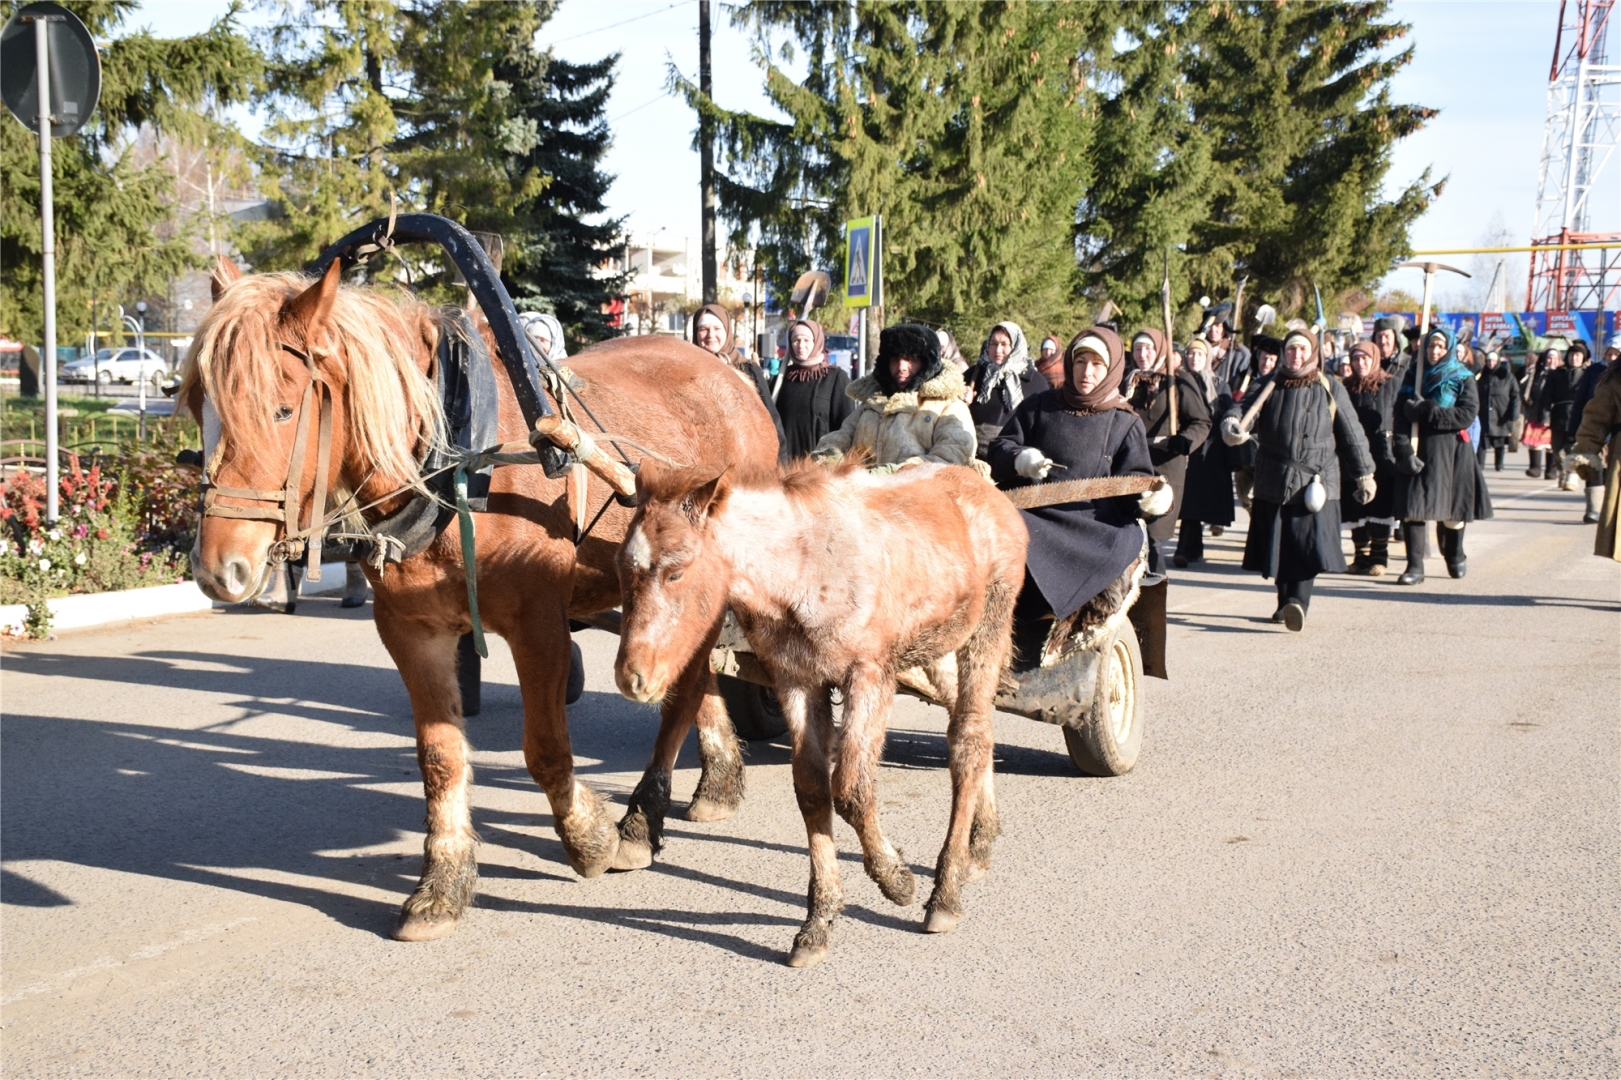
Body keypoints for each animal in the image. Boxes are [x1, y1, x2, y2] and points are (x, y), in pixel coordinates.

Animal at [182, 256, 778, 940]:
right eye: (196, 403)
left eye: (282, 410)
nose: (218, 569)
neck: (461, 469)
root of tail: (732, 376)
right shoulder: (412, 631)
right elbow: (439, 757)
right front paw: (443, 883)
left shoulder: (538, 624)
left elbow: (545, 749)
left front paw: (589, 836)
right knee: (695, 676)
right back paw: (717, 781)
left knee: (682, 692)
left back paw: (641, 815)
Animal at [612, 457, 1030, 960]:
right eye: (621, 570)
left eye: (675, 572)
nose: (631, 678)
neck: (804, 570)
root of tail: (989, 490)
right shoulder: (796, 680)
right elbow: (812, 789)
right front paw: (819, 922)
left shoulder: (869, 675)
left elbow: (850, 788)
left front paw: (896, 880)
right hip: (935, 653)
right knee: (975, 726)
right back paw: (980, 844)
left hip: (987, 630)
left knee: (968, 740)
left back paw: (945, 893)